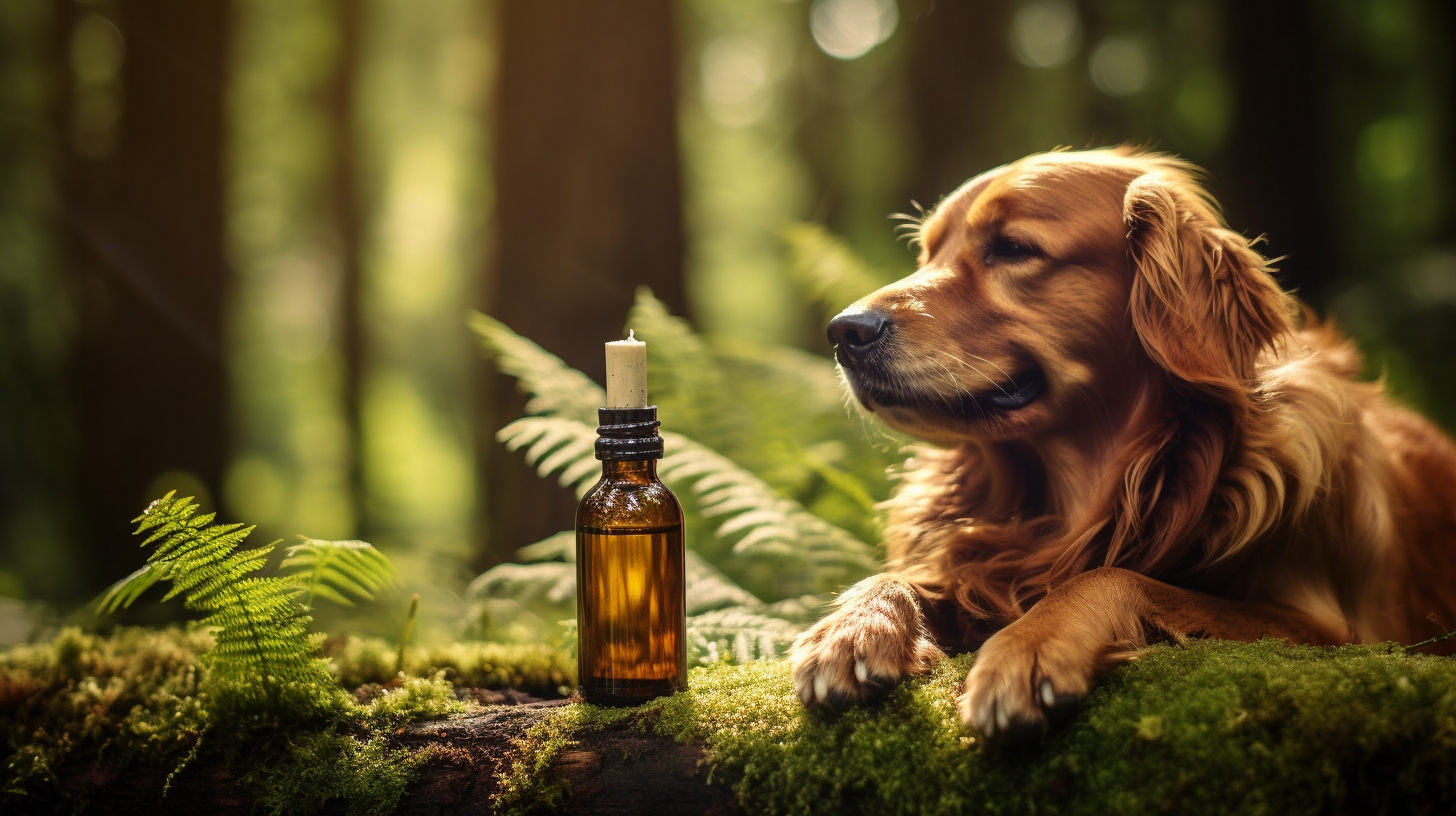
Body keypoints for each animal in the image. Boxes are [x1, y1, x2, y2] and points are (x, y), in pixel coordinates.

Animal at [792, 146, 1456, 740]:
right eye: (926, 254)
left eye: (1013, 248)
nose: (844, 332)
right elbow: (910, 575)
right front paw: (854, 627)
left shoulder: (1335, 631)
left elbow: (1112, 576)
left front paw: (1029, 644)